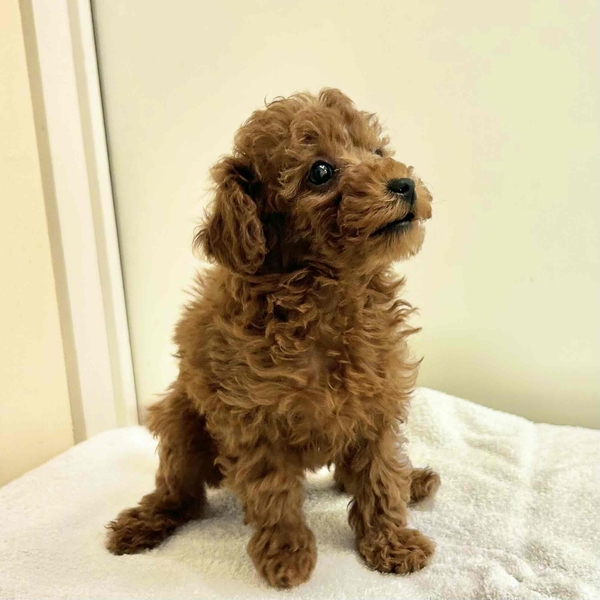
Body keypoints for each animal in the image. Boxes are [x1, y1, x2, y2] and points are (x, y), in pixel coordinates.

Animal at [106, 88, 440, 588]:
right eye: (320, 171)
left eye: (378, 152)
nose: (404, 184)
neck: (326, 295)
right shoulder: (254, 422)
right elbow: (275, 494)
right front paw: (286, 555)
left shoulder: (376, 401)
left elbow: (380, 477)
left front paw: (391, 543)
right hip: (181, 420)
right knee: (180, 494)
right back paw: (142, 523)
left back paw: (413, 480)